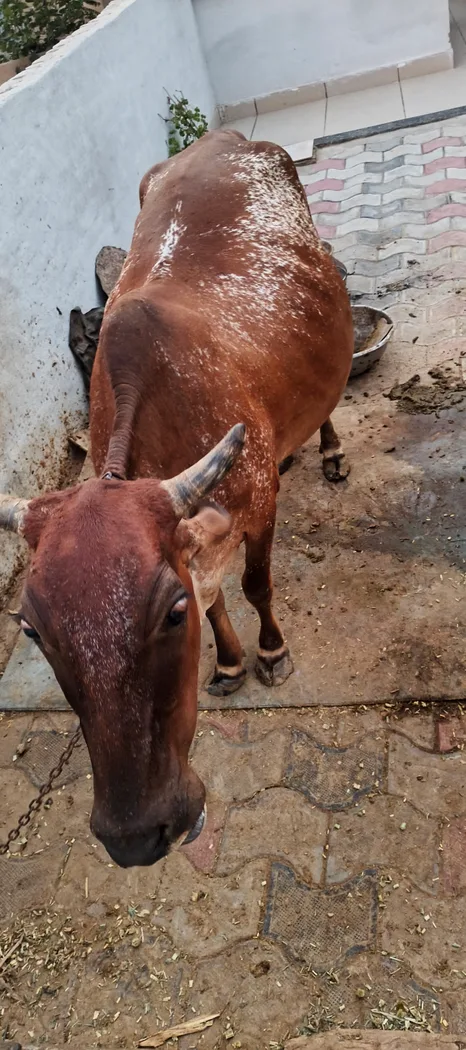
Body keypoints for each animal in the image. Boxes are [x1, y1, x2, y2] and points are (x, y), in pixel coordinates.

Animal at [0, 129, 353, 868]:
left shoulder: (260, 506)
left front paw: (269, 655)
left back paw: (330, 450)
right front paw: (229, 662)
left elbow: (253, 586)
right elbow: (218, 599)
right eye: (31, 630)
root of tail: (225, 136)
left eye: (168, 614)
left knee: (328, 402)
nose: (135, 836)